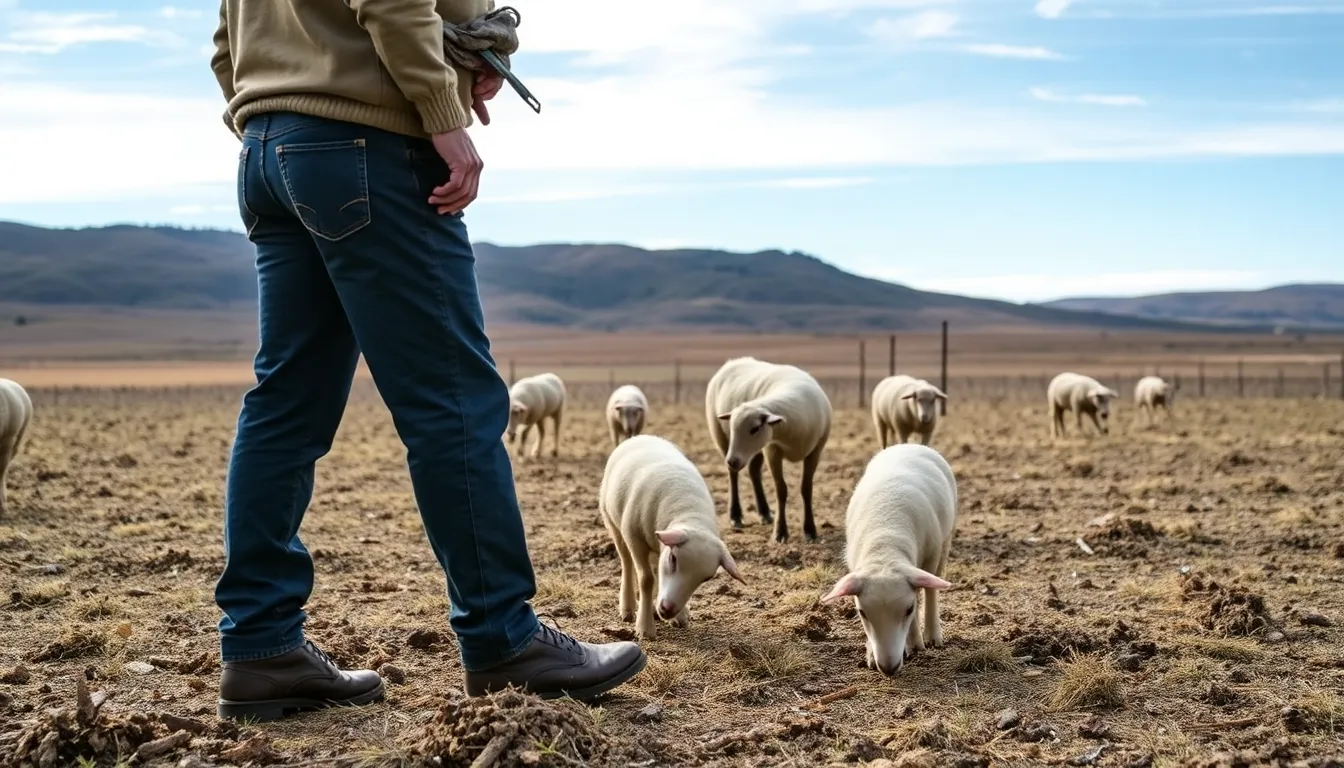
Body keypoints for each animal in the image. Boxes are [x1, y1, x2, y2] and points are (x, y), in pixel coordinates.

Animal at [599, 434, 745, 640]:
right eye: (674, 559)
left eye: (705, 579)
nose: (668, 610)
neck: (688, 513)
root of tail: (642, 436)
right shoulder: (635, 538)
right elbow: (646, 579)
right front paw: (645, 628)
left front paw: (679, 616)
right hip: (613, 522)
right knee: (626, 562)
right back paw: (627, 608)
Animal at [705, 356, 832, 544]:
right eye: (733, 428)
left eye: (755, 428)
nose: (733, 460)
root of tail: (734, 361)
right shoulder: (772, 450)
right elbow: (781, 490)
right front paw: (780, 533)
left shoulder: (815, 451)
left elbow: (806, 489)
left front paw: (810, 531)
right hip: (720, 435)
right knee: (733, 475)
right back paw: (736, 515)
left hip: (755, 450)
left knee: (753, 470)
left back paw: (764, 513)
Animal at [821, 443, 957, 676]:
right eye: (862, 613)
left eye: (908, 609)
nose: (888, 668)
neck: (885, 545)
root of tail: (909, 444)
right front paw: (870, 655)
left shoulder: (931, 553)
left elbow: (924, 593)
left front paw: (917, 642)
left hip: (944, 541)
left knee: (931, 588)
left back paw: (931, 636)